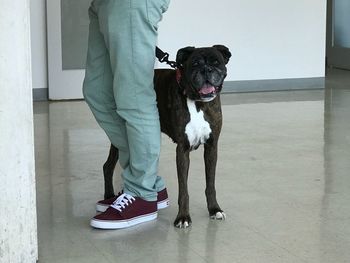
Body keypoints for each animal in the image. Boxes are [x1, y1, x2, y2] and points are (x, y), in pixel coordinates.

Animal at [102, 45, 231, 229]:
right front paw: (183, 217)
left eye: (215, 62)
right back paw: (109, 196)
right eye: (195, 63)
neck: (198, 103)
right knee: (108, 166)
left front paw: (214, 209)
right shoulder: (182, 151)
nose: (206, 69)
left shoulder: (212, 148)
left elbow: (210, 184)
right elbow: (184, 190)